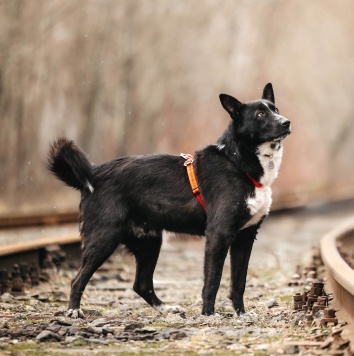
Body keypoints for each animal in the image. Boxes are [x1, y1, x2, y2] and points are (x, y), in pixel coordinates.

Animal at [47, 84, 290, 320]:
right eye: (260, 114)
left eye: (275, 109)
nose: (286, 122)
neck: (237, 161)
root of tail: (93, 174)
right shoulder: (219, 234)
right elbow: (213, 280)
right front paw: (209, 315)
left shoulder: (245, 237)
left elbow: (239, 282)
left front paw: (241, 314)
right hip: (104, 238)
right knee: (77, 279)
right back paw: (74, 310)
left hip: (149, 242)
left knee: (141, 284)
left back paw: (167, 309)